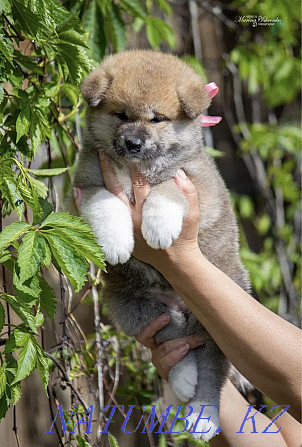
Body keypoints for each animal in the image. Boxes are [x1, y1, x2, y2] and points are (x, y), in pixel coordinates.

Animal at [73, 50, 252, 440]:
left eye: (157, 119)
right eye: (121, 115)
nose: (133, 144)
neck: (135, 167)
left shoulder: (197, 184)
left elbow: (166, 188)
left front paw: (157, 225)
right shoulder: (84, 186)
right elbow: (106, 203)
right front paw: (116, 242)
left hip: (220, 317)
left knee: (214, 368)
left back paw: (203, 414)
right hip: (136, 307)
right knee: (173, 338)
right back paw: (182, 380)